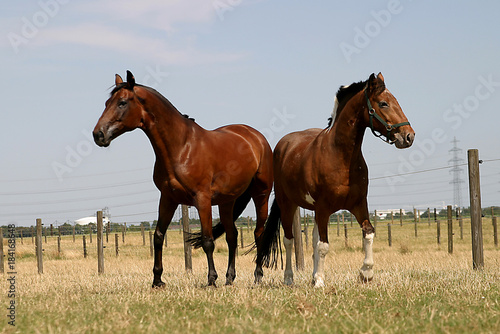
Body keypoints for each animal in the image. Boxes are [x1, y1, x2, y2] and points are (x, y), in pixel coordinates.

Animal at [94, 70, 274, 288]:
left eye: (122, 102)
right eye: (106, 103)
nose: (98, 134)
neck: (181, 147)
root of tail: (255, 137)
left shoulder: (202, 199)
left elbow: (207, 240)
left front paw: (211, 280)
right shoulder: (167, 199)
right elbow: (158, 236)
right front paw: (157, 280)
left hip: (261, 194)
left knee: (258, 233)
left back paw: (257, 276)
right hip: (227, 202)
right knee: (232, 236)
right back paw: (229, 278)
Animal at [256, 73, 416, 288]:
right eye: (383, 103)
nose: (408, 136)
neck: (340, 157)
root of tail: (283, 145)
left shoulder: (358, 204)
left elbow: (368, 233)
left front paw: (366, 273)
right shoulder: (324, 208)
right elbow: (323, 246)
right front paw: (320, 281)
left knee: (312, 237)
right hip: (287, 204)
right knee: (289, 239)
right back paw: (289, 278)